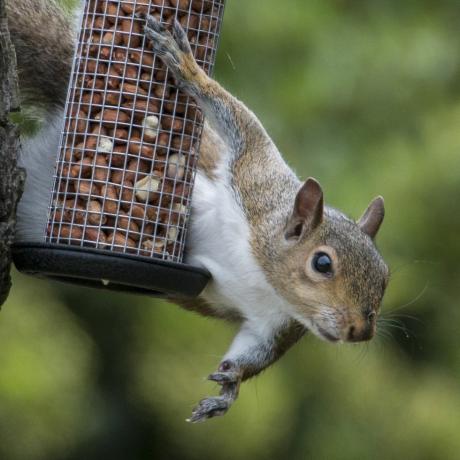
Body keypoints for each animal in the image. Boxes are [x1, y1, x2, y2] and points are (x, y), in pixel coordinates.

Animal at [7, 0, 388, 424]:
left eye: (385, 276)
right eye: (322, 264)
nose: (360, 330)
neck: (263, 275)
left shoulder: (275, 321)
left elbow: (253, 353)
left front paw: (228, 388)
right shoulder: (254, 183)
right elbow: (242, 125)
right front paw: (187, 67)